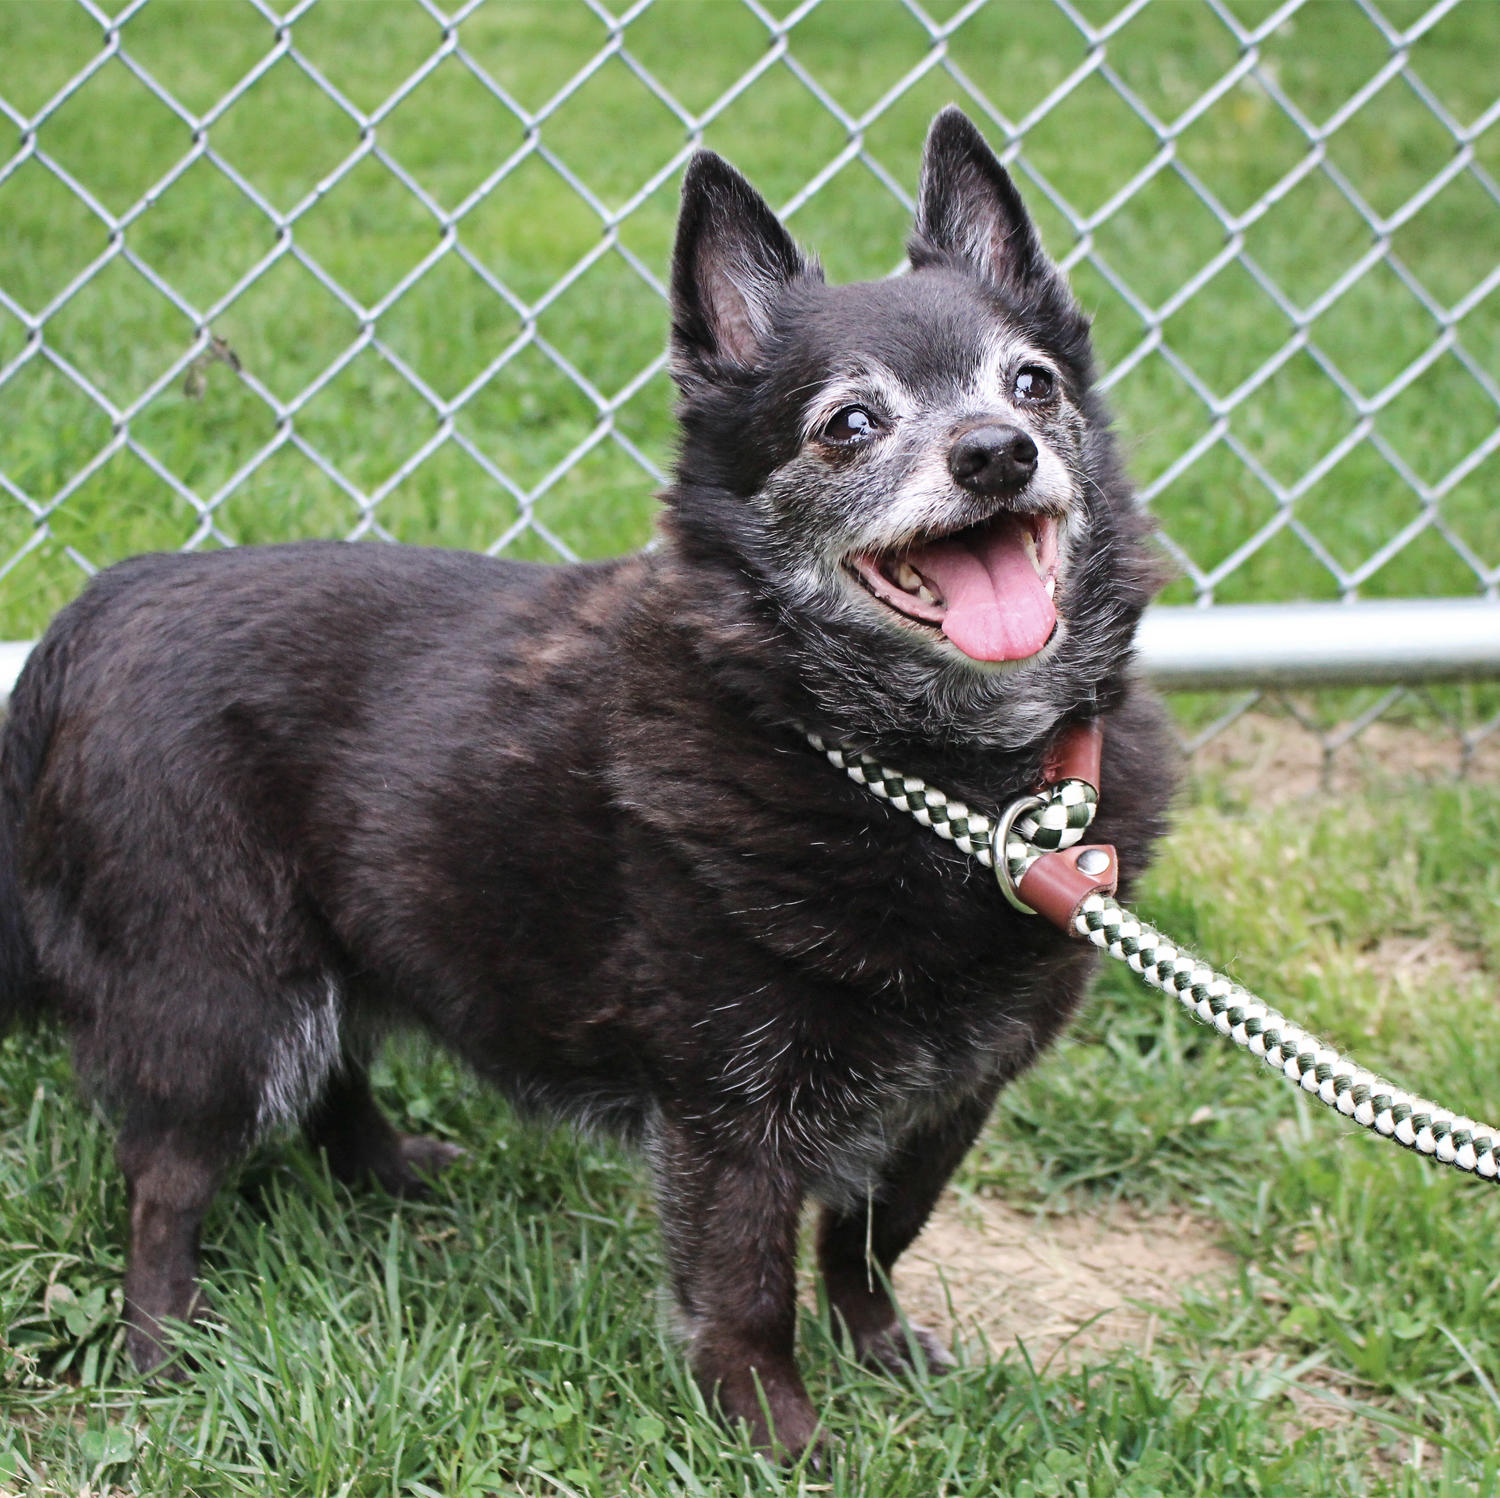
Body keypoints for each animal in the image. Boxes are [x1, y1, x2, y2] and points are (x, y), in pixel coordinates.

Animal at [0, 108, 1170, 1463]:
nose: (996, 453)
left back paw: (386, 1169)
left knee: (334, 1068)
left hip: (331, 946)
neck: (942, 778)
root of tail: (96, 610)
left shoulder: (948, 1101)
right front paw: (777, 1438)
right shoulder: (733, 1117)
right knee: (166, 1186)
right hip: (219, 1000)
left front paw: (881, 1355)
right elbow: (748, 1294)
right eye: (847, 424)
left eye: (1032, 383)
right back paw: (163, 1350)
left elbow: (871, 1243)